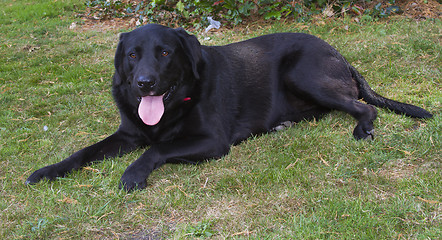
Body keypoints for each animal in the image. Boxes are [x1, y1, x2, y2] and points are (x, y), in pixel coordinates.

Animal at [25, 23, 434, 190]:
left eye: (164, 53)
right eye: (132, 55)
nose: (144, 83)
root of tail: (340, 55)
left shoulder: (212, 142)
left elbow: (156, 149)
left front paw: (133, 174)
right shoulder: (128, 134)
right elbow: (83, 152)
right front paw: (47, 171)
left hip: (303, 73)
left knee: (363, 107)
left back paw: (363, 128)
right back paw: (283, 124)